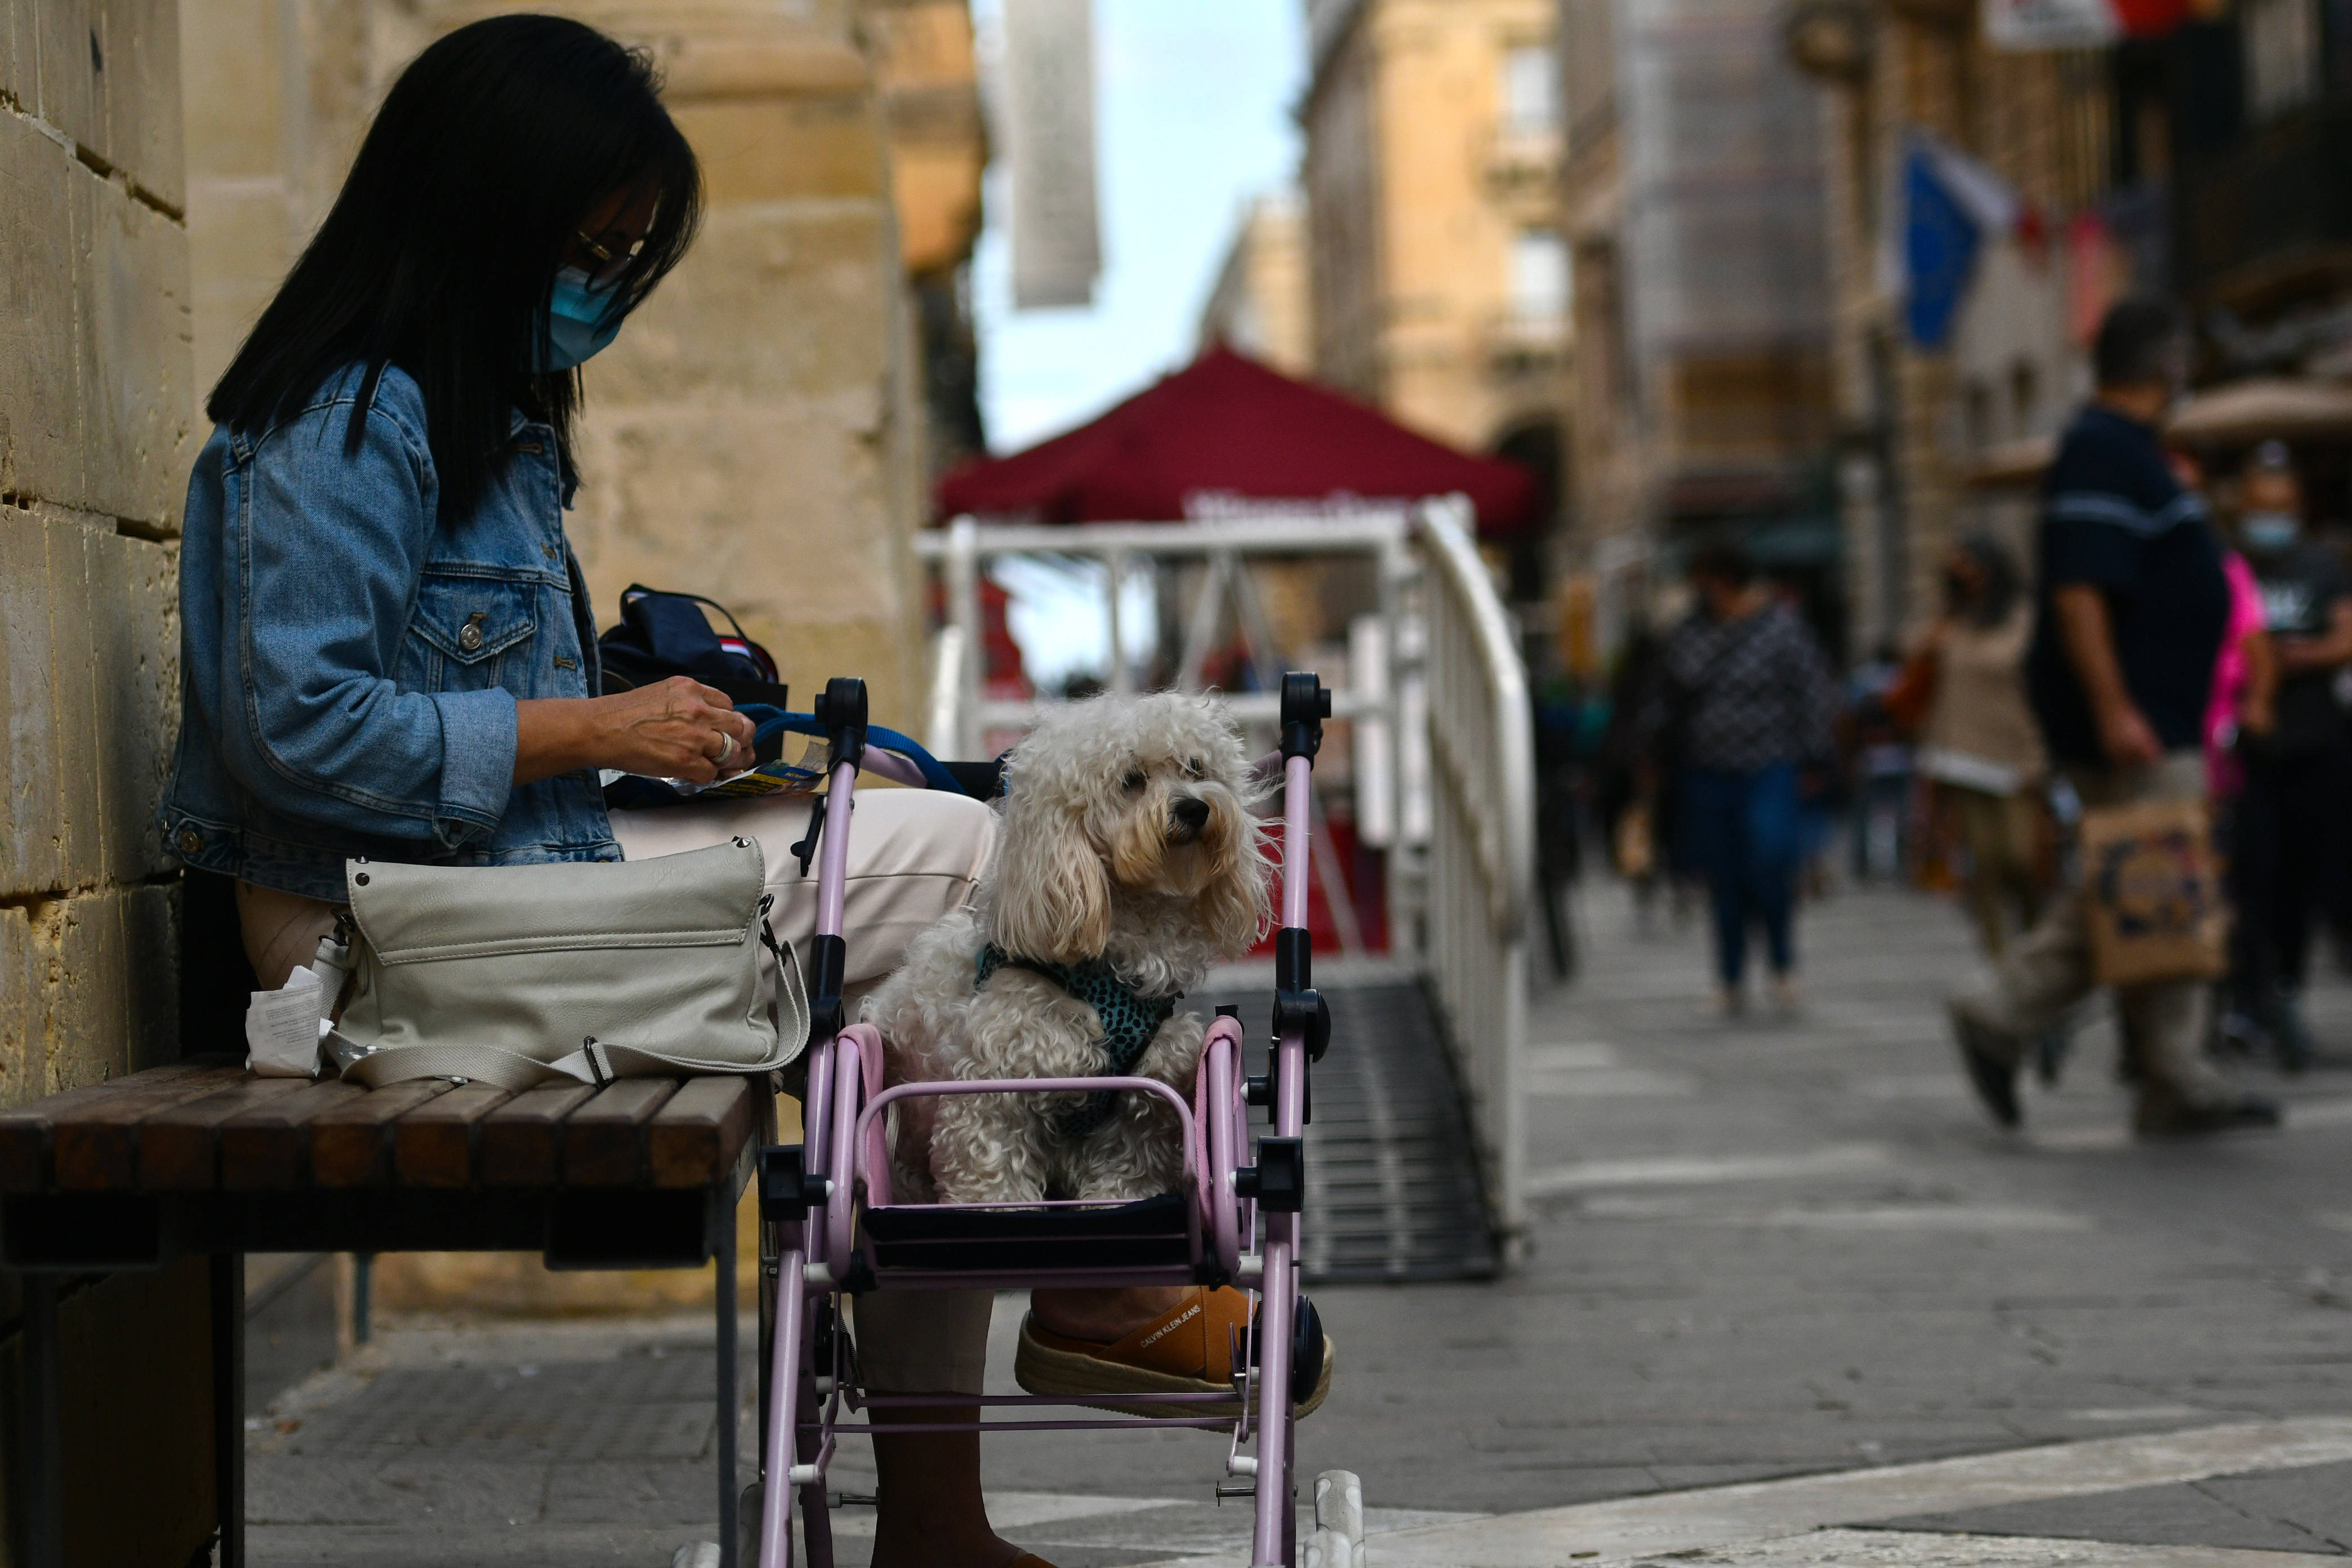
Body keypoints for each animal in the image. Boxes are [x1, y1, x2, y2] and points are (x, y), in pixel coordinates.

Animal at [865, 691, 1270, 1213]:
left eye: (1196, 767)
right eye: (1131, 780)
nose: (1196, 808)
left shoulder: (1140, 1108)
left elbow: (1124, 1175)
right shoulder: (993, 1096)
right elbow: (994, 1177)